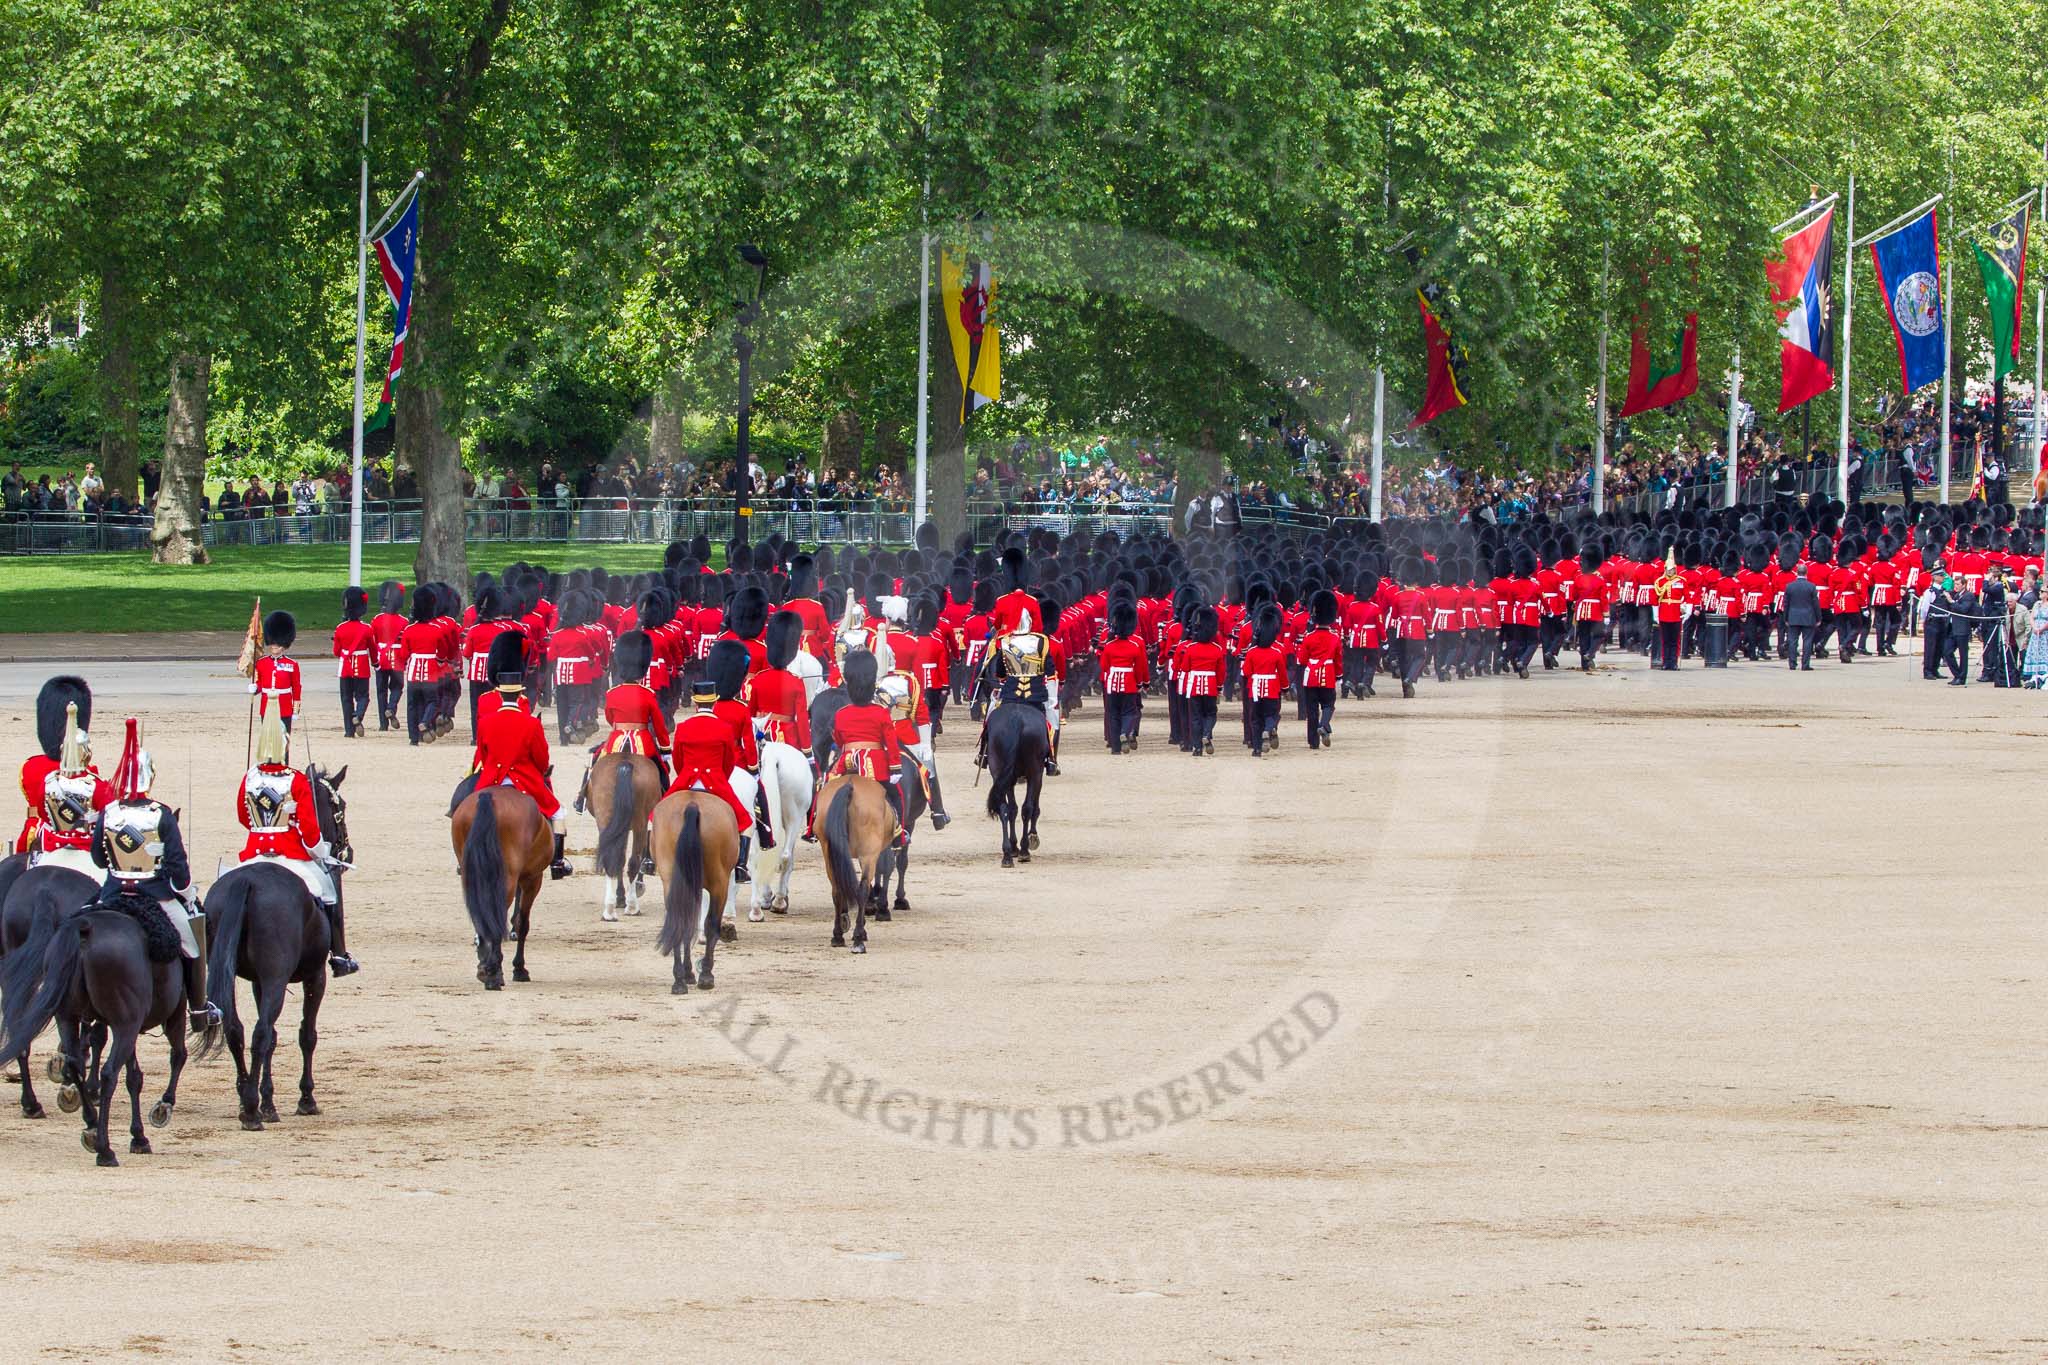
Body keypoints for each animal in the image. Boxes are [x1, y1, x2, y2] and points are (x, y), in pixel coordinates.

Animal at [452, 789, 552, 994]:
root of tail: (489, 796)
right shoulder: (533, 879)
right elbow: (522, 923)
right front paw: (519, 968)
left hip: (471, 873)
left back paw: (486, 967)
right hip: (510, 878)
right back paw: (493, 974)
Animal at [589, 753, 659, 925]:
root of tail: (624, 763)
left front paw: (620, 897)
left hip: (606, 819)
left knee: (613, 859)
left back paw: (609, 911)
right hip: (640, 823)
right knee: (633, 861)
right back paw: (632, 906)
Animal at [651, 789, 741, 994]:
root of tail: (692, 805)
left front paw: (688, 973)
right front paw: (697, 973)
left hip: (672, 882)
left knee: (678, 922)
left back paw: (679, 981)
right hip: (719, 884)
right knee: (711, 924)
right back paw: (705, 975)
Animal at [815, 773, 897, 957]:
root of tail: (850, 784)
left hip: (828, 851)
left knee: (837, 890)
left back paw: (837, 935)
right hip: (869, 852)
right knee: (863, 889)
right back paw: (859, 939)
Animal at [983, 699, 1048, 871]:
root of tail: (1016, 719)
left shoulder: (1009, 779)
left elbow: (1012, 809)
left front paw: (1014, 847)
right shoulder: (1038, 776)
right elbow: (1033, 808)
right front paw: (1032, 837)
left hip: (1001, 773)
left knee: (1005, 808)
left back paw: (1007, 855)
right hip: (1034, 771)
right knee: (1026, 808)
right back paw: (1023, 849)